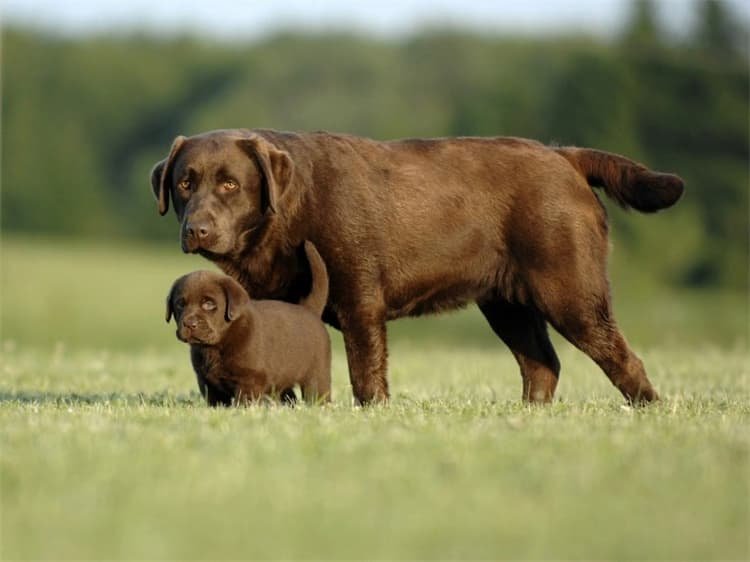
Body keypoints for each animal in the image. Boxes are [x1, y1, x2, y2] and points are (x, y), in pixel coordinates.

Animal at [167, 240, 332, 402]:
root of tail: (309, 309)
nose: (189, 323)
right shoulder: (207, 382)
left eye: (208, 304)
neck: (217, 344)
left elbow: (243, 401)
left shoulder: (250, 379)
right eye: (180, 304)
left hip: (316, 376)